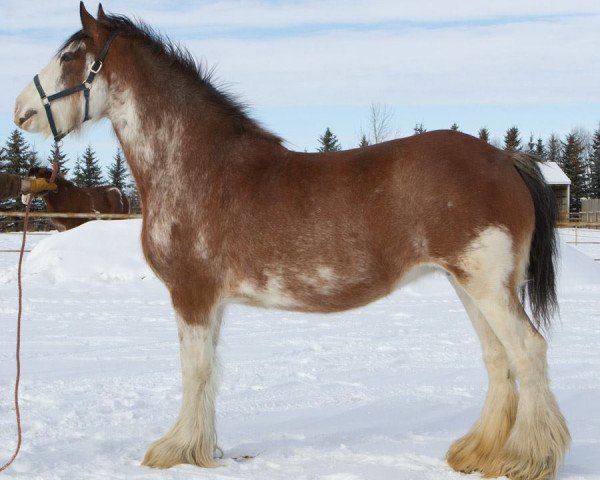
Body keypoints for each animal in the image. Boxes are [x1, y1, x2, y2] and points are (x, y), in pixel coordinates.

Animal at [12, 4, 568, 480]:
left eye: (70, 56)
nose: (20, 111)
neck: (197, 166)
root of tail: (503, 159)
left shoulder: (191, 295)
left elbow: (194, 371)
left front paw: (177, 450)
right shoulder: (210, 303)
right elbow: (209, 372)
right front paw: (201, 448)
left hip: (487, 286)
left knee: (527, 351)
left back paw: (526, 457)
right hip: (470, 285)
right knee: (498, 360)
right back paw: (479, 453)